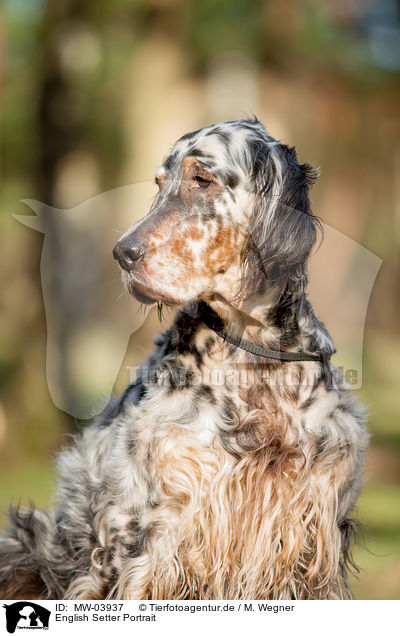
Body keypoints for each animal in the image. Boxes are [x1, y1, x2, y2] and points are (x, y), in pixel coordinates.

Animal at [0, 119, 368, 600]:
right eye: (160, 183)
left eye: (202, 180)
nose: (123, 253)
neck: (253, 361)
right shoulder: (151, 529)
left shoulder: (315, 531)